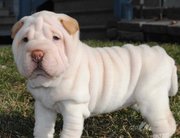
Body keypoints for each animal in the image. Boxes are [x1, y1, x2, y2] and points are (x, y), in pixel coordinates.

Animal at [11, 11, 178, 138]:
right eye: (25, 39)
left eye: (56, 38)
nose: (37, 54)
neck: (49, 82)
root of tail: (165, 57)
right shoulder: (43, 107)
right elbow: (41, 129)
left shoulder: (73, 108)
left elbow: (69, 132)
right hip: (141, 101)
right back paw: (145, 128)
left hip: (151, 98)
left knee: (166, 123)